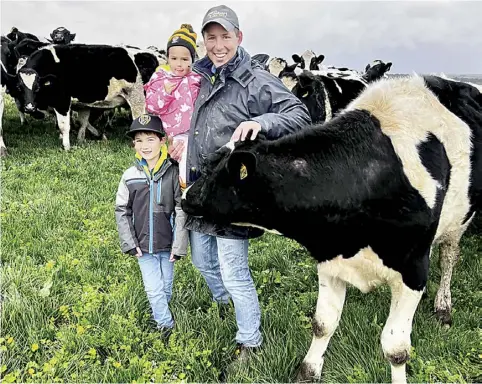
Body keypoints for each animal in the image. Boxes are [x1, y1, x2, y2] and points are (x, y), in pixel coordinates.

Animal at [182, 73, 482, 382]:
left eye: (210, 170)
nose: (185, 195)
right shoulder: (330, 258)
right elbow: (323, 323)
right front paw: (308, 370)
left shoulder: (412, 270)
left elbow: (396, 348)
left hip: (459, 221)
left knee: (448, 257)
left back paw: (443, 305)